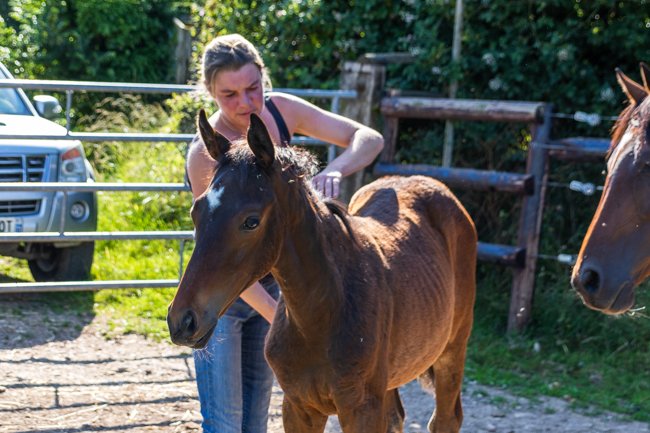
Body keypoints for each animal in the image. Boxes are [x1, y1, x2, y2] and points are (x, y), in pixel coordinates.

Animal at [167, 109, 477, 433]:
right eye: (196, 211)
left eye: (251, 221)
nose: (182, 321)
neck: (322, 313)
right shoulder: (298, 406)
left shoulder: (361, 409)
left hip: (453, 349)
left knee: (446, 418)